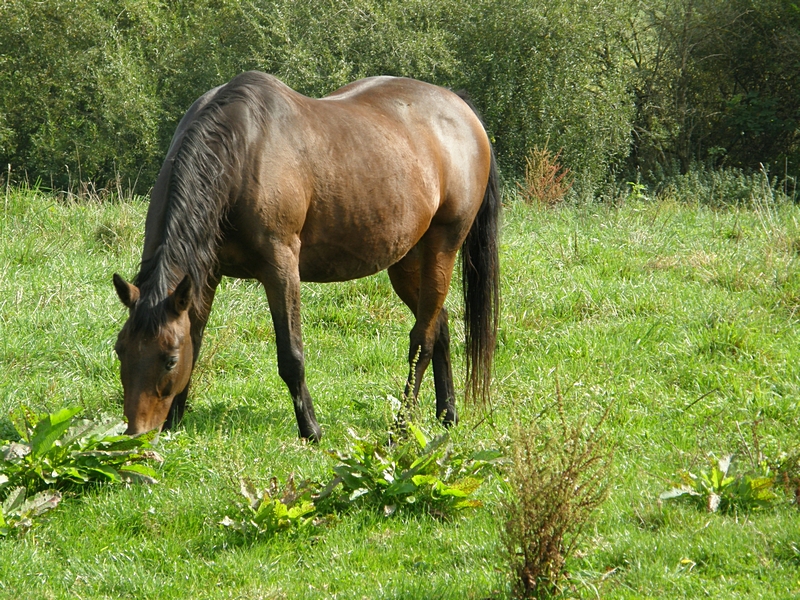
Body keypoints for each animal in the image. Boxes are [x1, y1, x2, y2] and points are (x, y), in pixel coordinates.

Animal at [112, 72, 500, 442]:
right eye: (120, 350)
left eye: (169, 360)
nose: (137, 433)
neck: (240, 151)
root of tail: (458, 106)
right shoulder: (205, 273)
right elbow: (196, 333)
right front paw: (174, 421)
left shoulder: (281, 268)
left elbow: (291, 355)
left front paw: (311, 429)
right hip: (405, 260)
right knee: (439, 323)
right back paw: (446, 413)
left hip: (442, 247)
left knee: (422, 340)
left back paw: (400, 428)